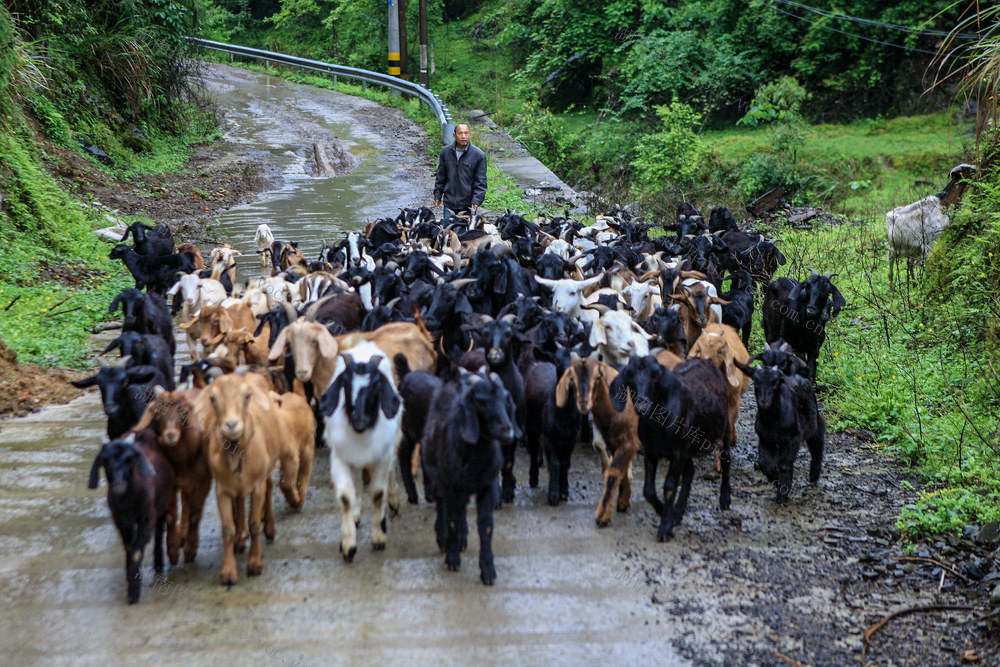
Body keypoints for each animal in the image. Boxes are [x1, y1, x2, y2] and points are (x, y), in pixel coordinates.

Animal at [89, 430, 175, 608]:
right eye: (105, 461)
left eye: (129, 459)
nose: (118, 485)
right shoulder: (122, 521)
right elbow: (129, 548)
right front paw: (130, 577)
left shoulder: (147, 517)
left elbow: (136, 551)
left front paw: (134, 591)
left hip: (163, 505)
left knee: (159, 531)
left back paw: (158, 562)